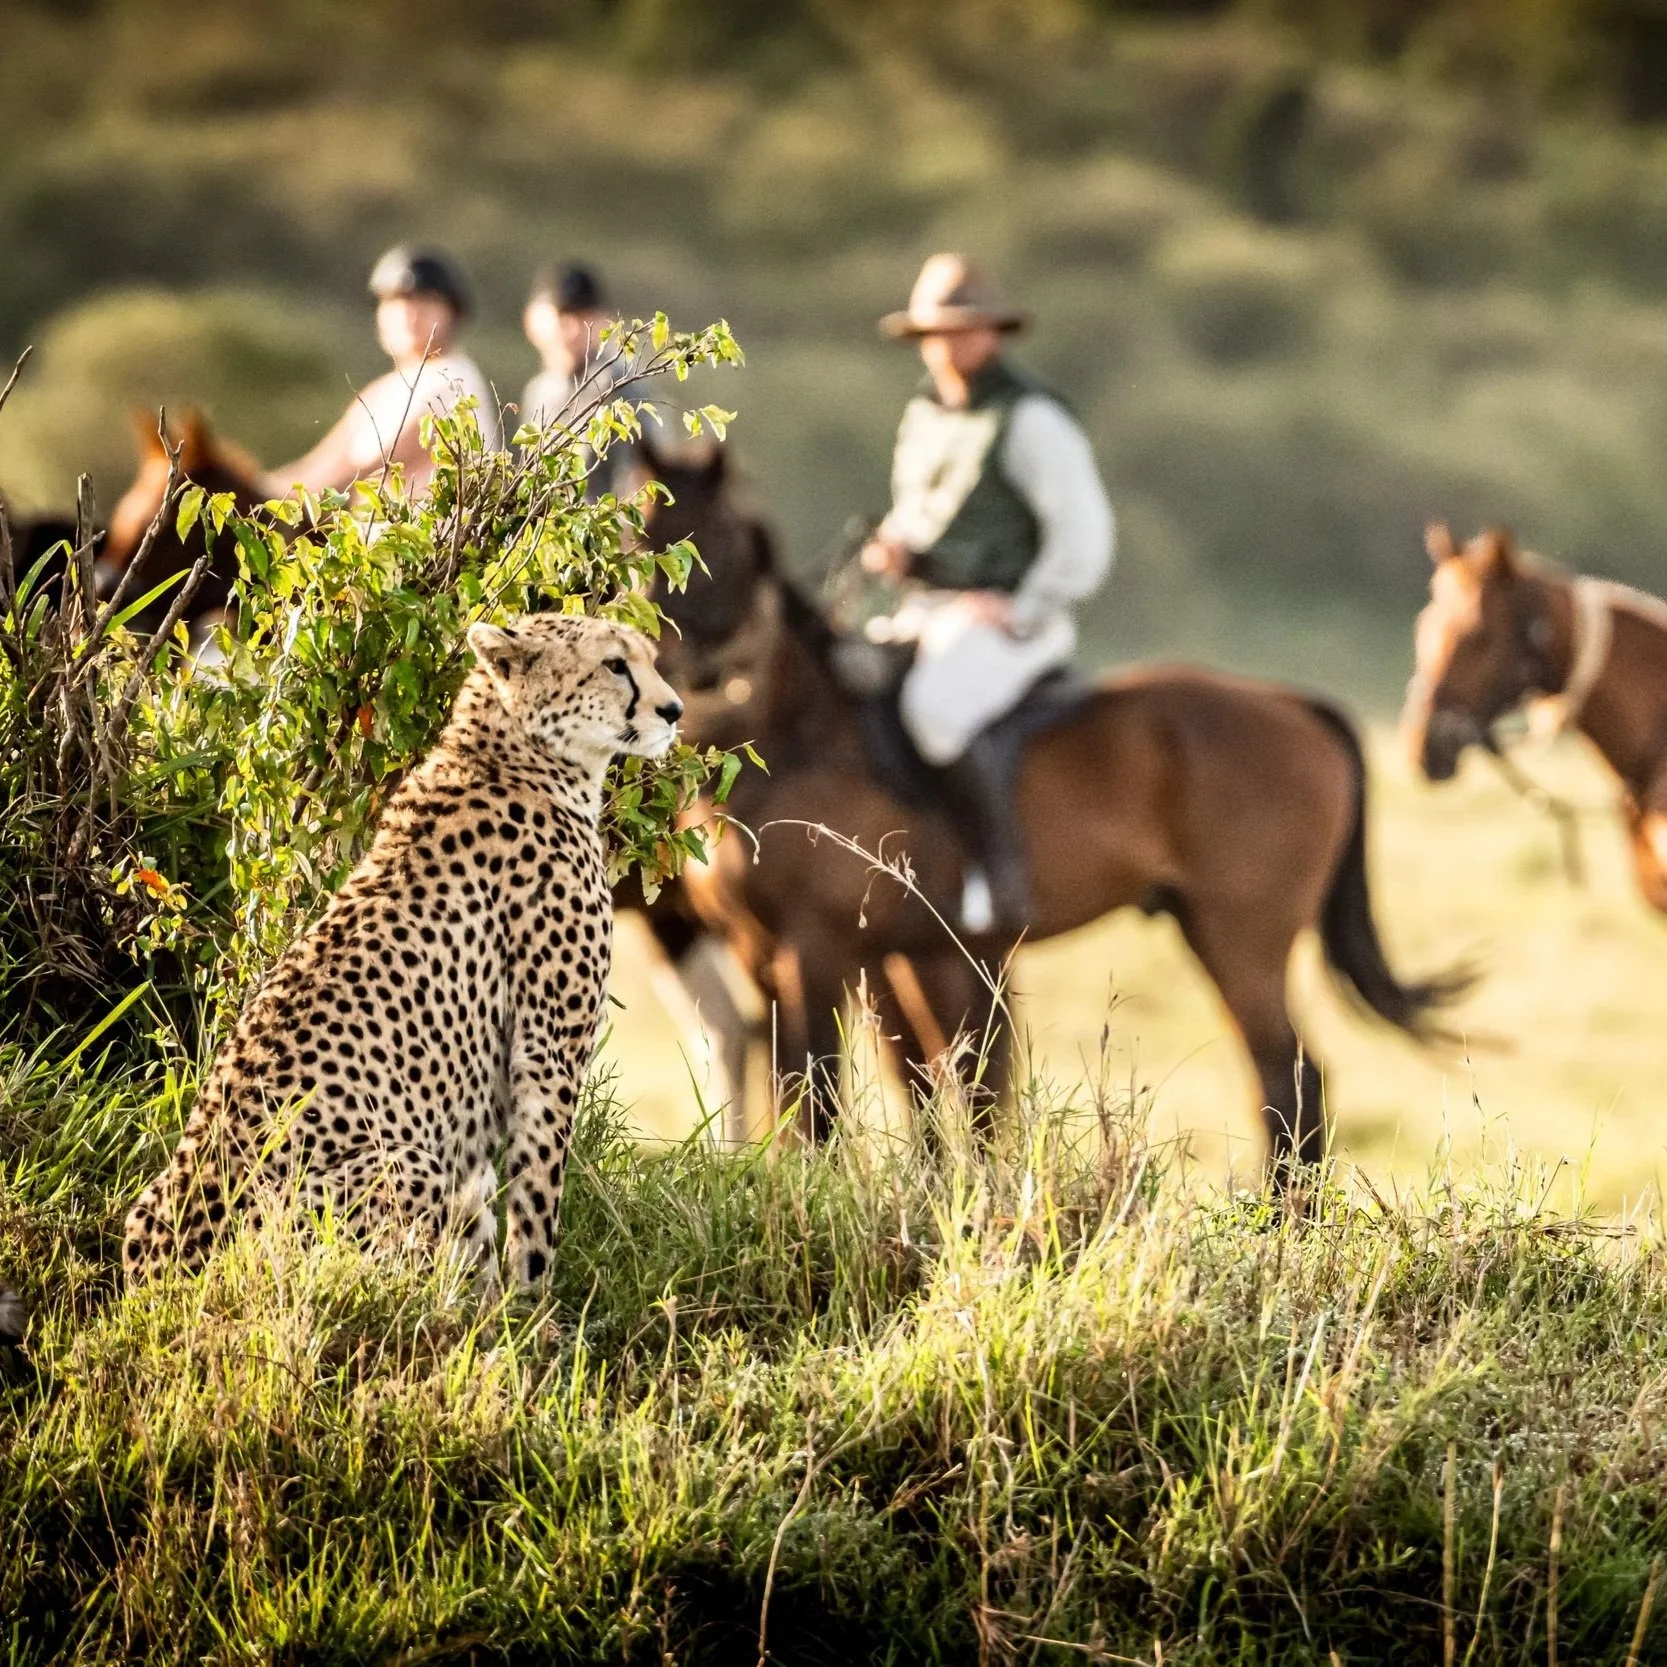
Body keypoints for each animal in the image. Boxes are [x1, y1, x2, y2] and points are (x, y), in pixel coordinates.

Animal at [122, 611, 684, 1288]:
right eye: (614, 664)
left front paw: (495, 1312)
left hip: (146, 1205)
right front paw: (537, 1305)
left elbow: (482, 1229)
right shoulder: (548, 1049)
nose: (674, 710)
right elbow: (535, 1201)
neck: (512, 753)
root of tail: (165, 1270)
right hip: (401, 1168)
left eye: (647, 657)